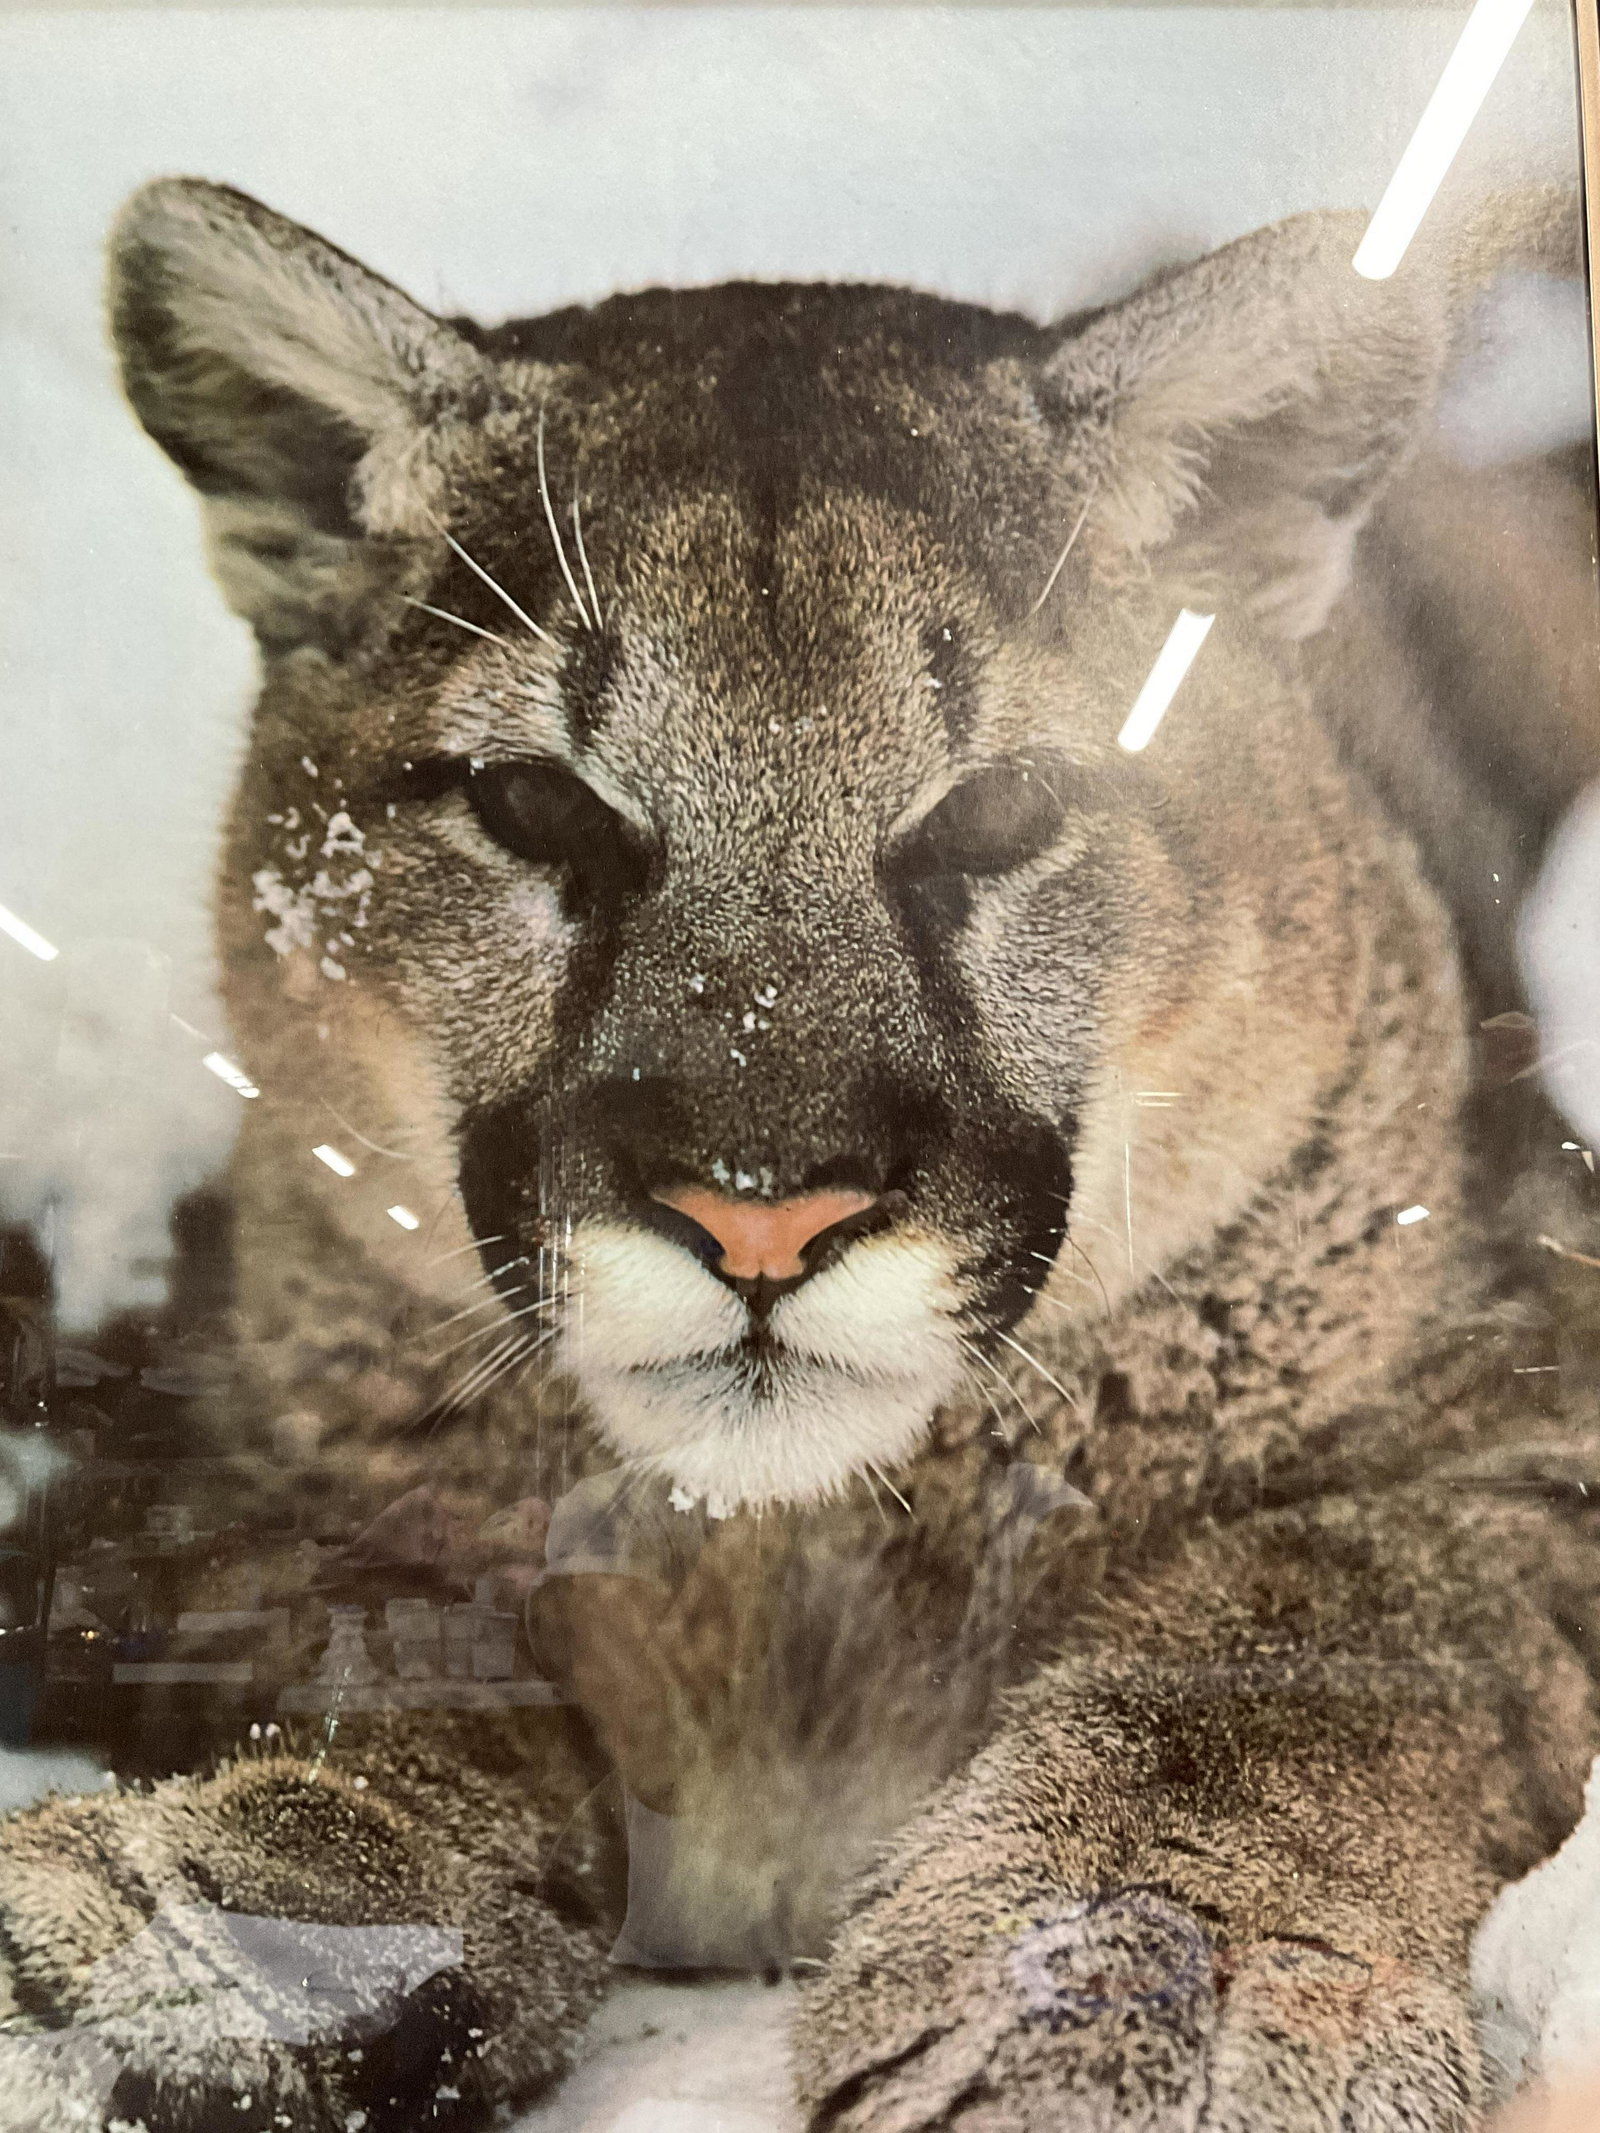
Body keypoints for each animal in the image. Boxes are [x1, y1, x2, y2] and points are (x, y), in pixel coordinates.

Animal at [0, 176, 1597, 2131]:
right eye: (535, 804)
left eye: (1001, 810)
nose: (761, 1216)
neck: (782, 1573)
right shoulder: (170, 1464)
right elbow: (392, 1642)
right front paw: (211, 1932)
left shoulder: (1535, 1412)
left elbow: (1317, 1628)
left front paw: (1139, 1986)